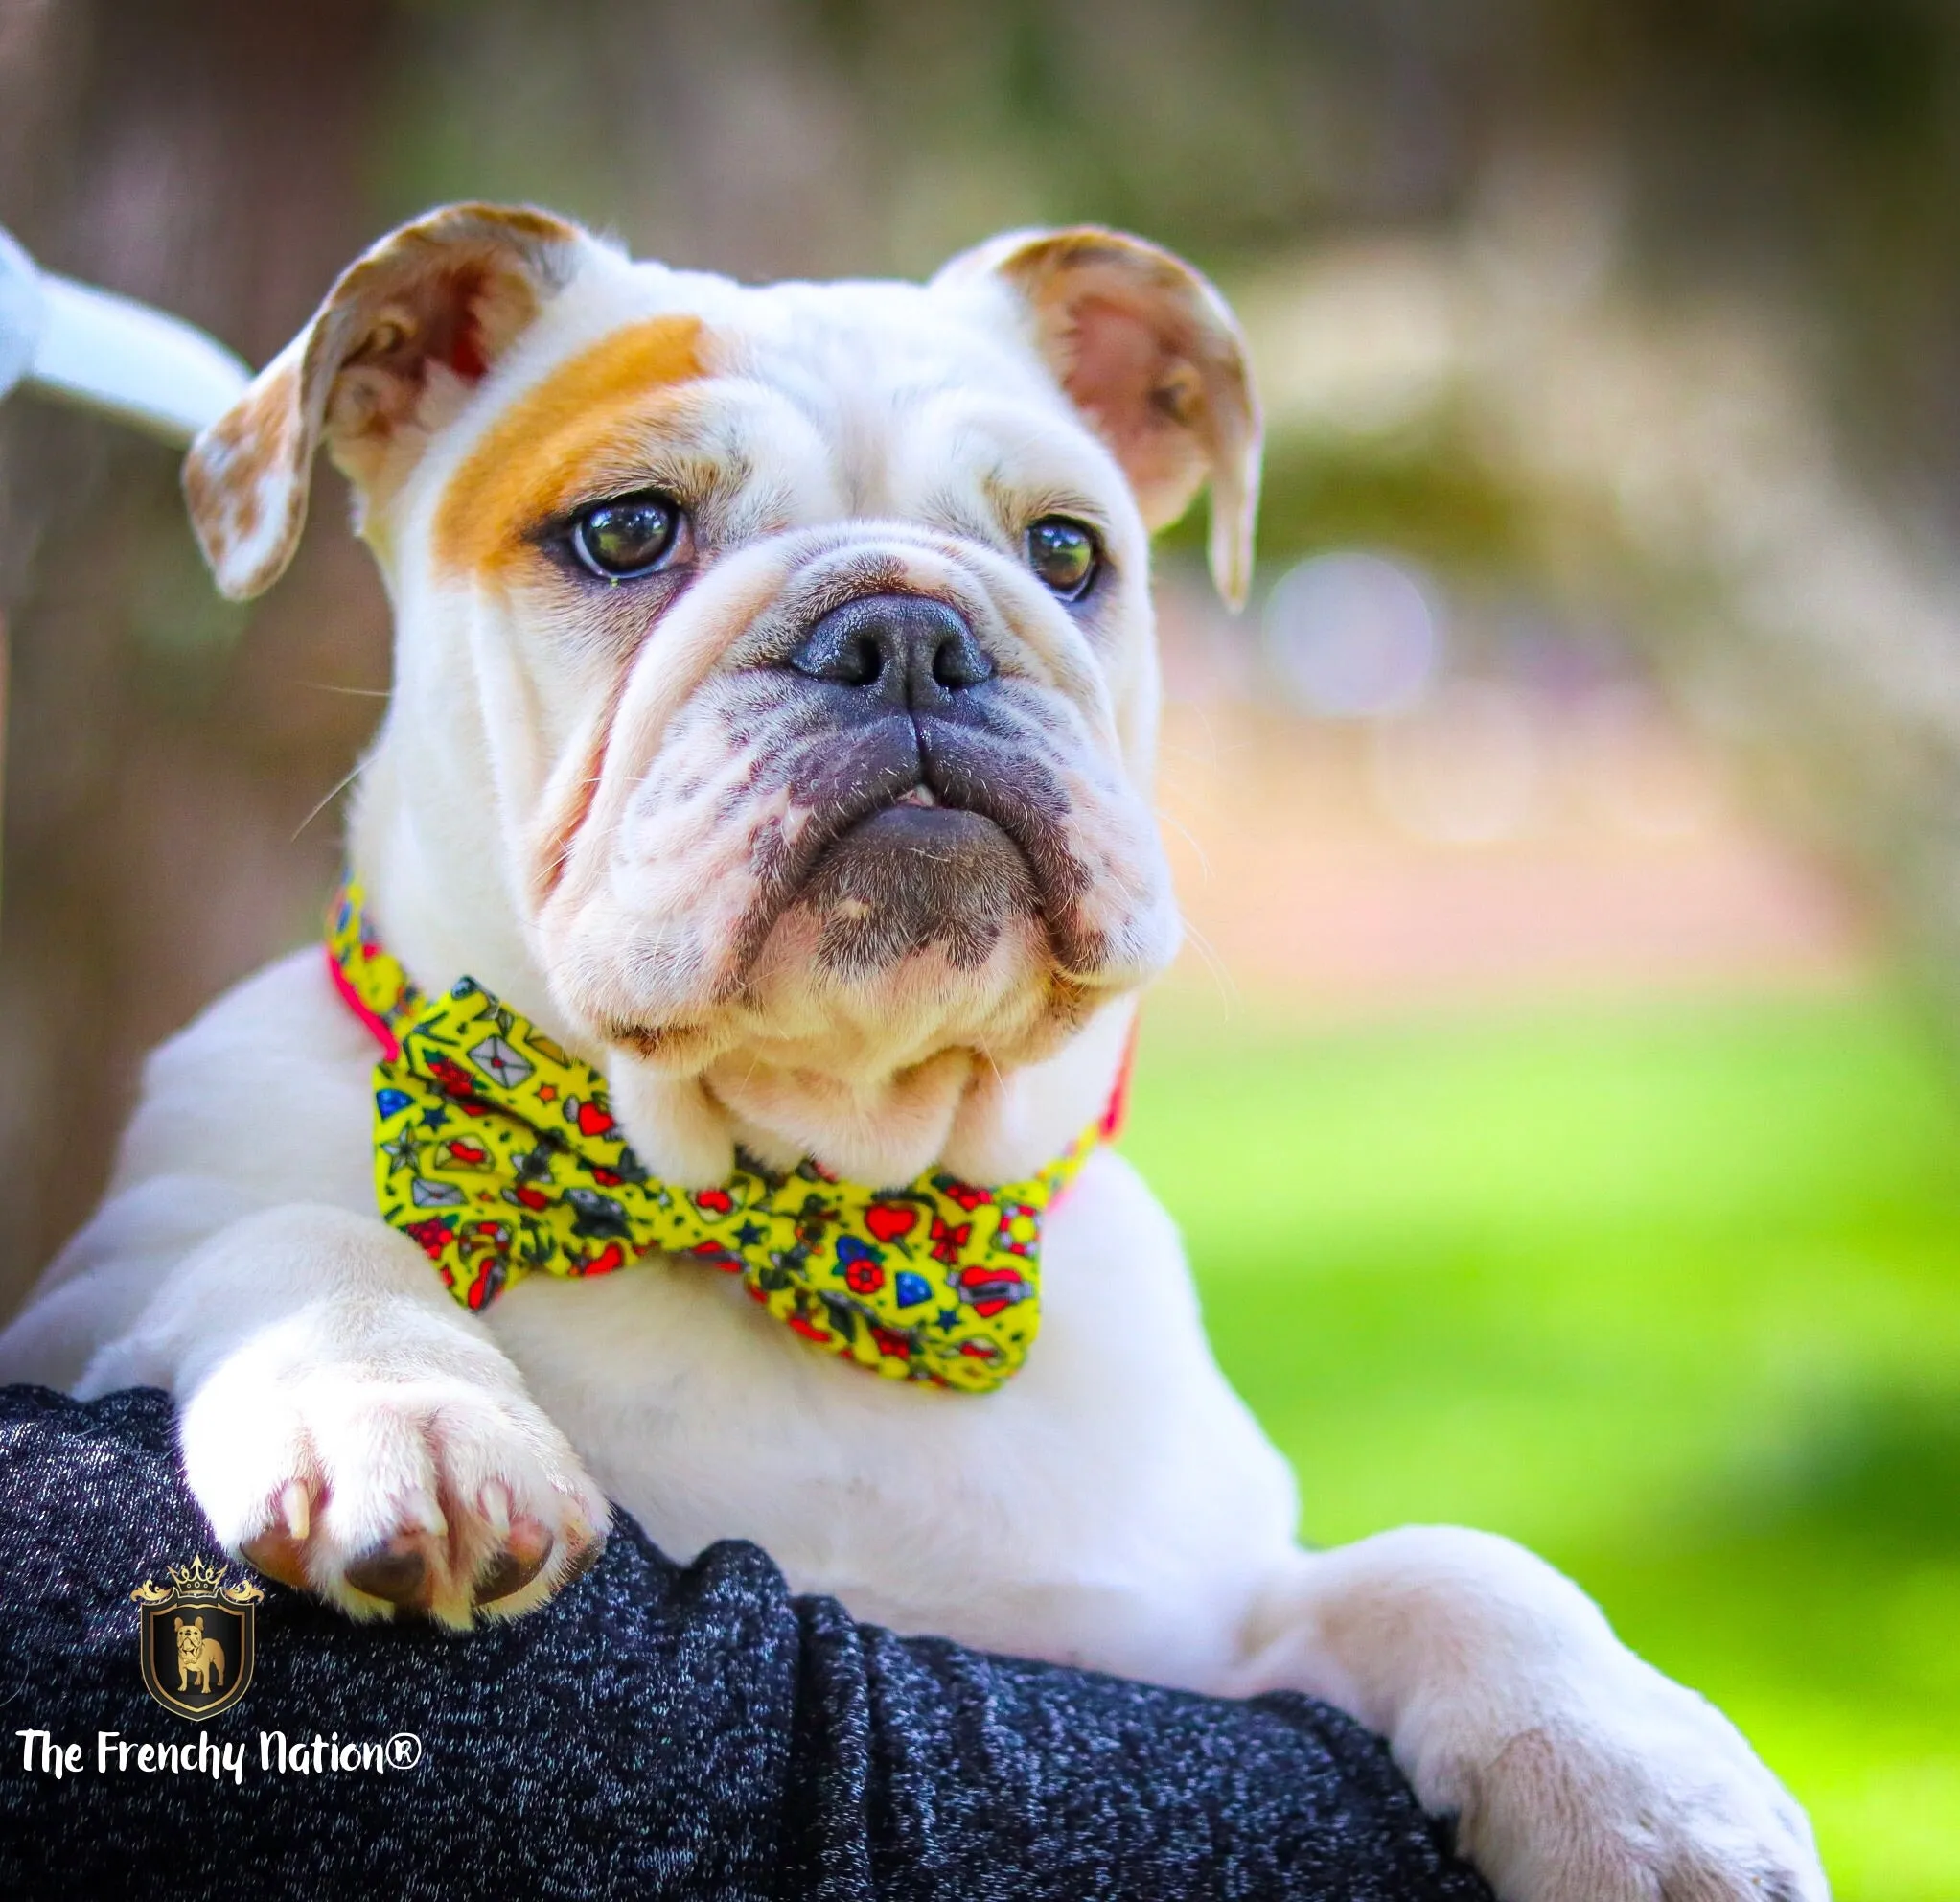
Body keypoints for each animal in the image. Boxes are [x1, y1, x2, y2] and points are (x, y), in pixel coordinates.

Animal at [0, 207, 1818, 1897]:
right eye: (626, 529)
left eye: (1068, 547)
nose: (907, 633)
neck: (794, 1190)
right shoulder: (103, 1285)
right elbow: (292, 1235)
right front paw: (404, 1410)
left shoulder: (1182, 1639)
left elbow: (1443, 1561)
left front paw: (1650, 1782)